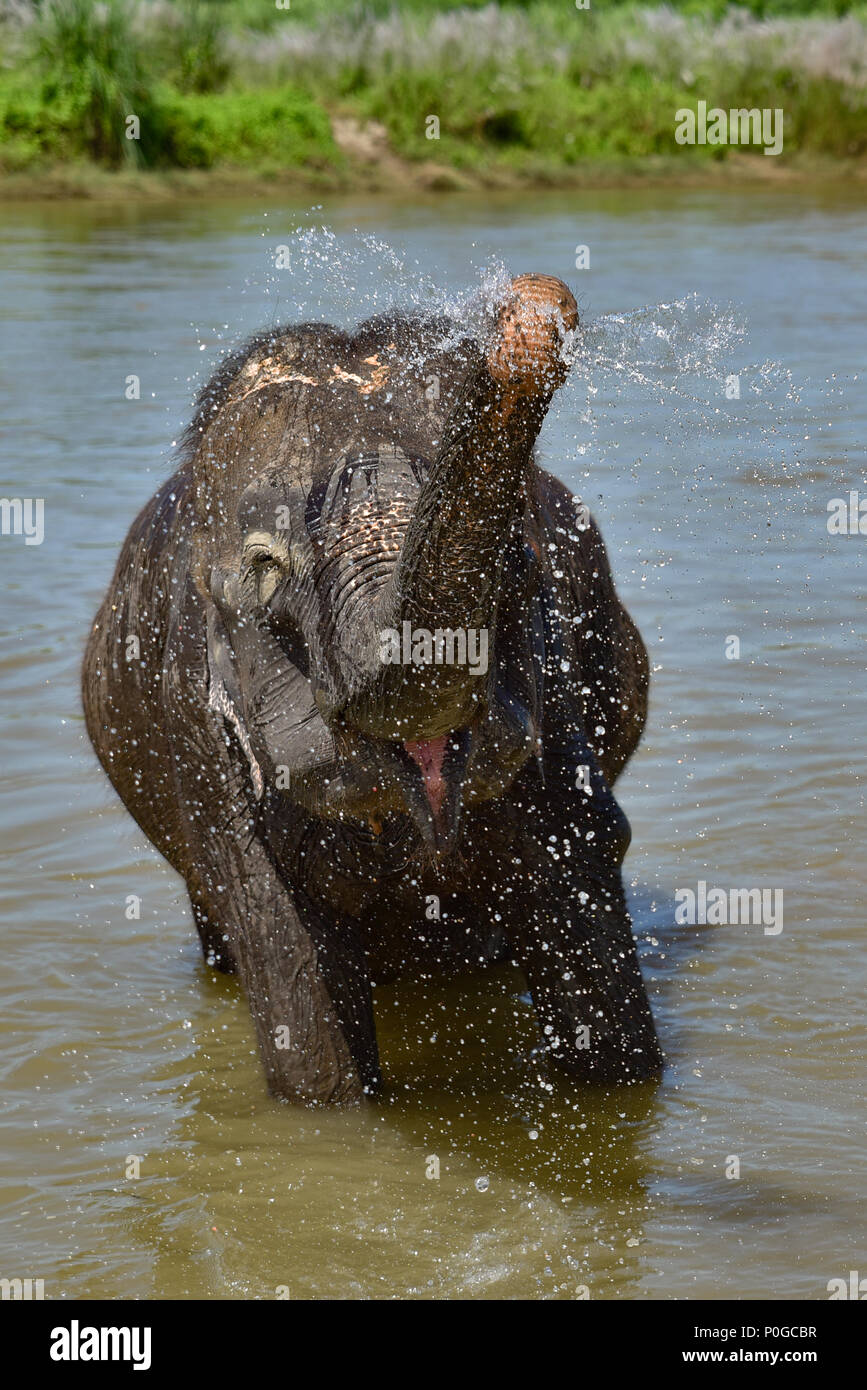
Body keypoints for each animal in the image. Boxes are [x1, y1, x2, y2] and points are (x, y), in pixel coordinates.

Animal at [83, 268, 664, 1095]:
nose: (529, 301)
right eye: (266, 568)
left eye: (519, 557)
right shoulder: (199, 732)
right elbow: (291, 969)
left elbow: (578, 882)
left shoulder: (556, 686)